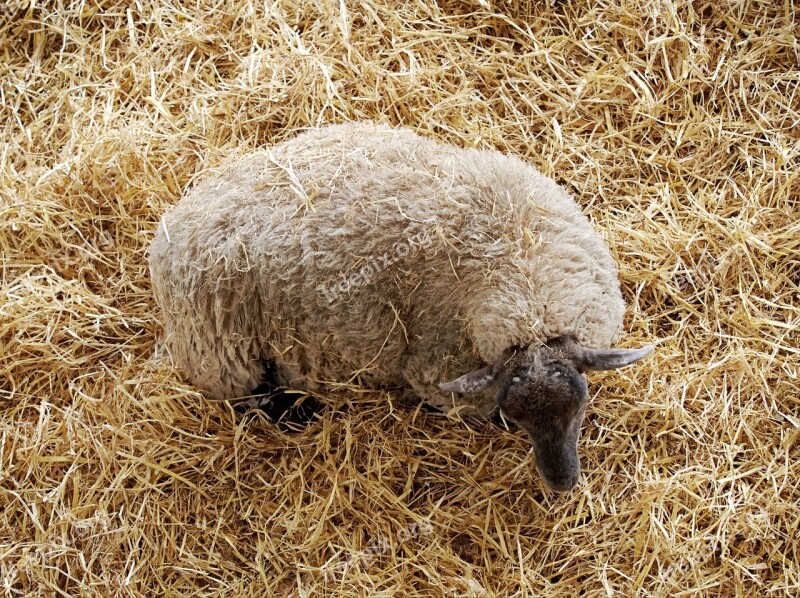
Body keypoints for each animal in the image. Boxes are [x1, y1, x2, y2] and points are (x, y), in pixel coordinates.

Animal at [148, 122, 648, 492]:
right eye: (518, 417)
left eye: (580, 407)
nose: (563, 483)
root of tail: (168, 232)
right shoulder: (437, 372)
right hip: (222, 354)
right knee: (250, 400)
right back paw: (297, 410)